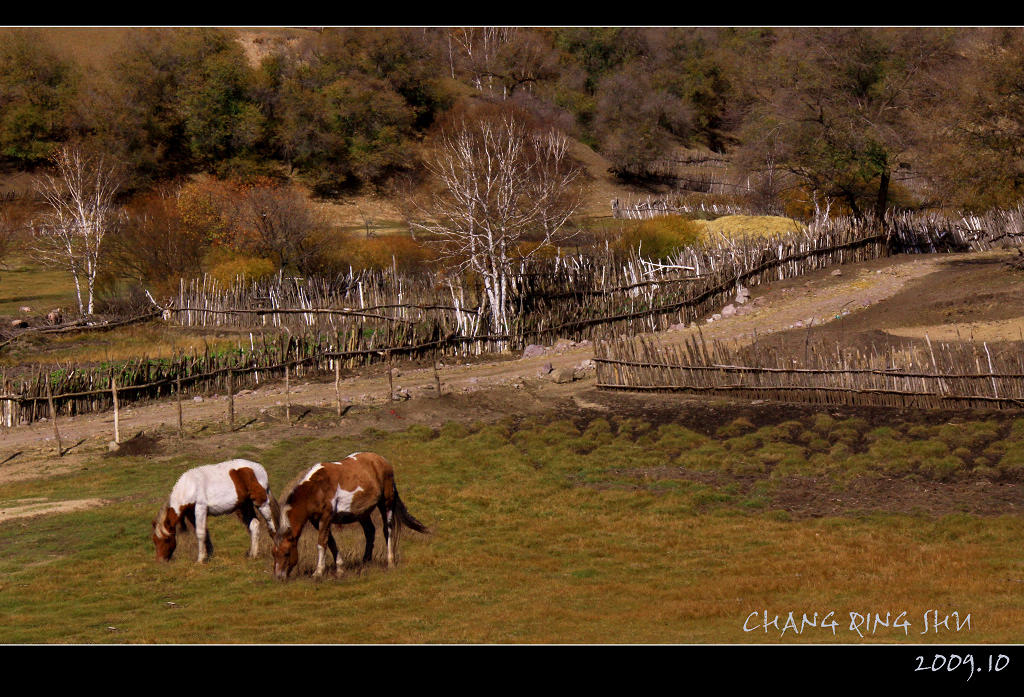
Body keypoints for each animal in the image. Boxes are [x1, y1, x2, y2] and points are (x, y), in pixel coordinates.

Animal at [149, 458, 278, 560]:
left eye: (166, 540)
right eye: (154, 540)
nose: (161, 560)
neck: (189, 486)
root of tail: (259, 468)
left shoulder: (200, 508)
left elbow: (200, 533)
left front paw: (201, 559)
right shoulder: (191, 514)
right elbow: (204, 532)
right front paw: (209, 554)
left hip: (261, 503)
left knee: (271, 523)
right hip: (244, 506)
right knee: (254, 525)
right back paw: (252, 554)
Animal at [272, 448, 428, 577]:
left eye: (286, 553)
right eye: (274, 554)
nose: (279, 577)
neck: (315, 489)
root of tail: (382, 460)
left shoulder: (326, 517)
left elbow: (322, 543)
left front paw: (318, 572)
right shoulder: (317, 520)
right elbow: (330, 542)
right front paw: (340, 568)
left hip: (386, 502)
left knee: (387, 530)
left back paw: (390, 562)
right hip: (362, 513)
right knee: (370, 532)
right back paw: (365, 563)